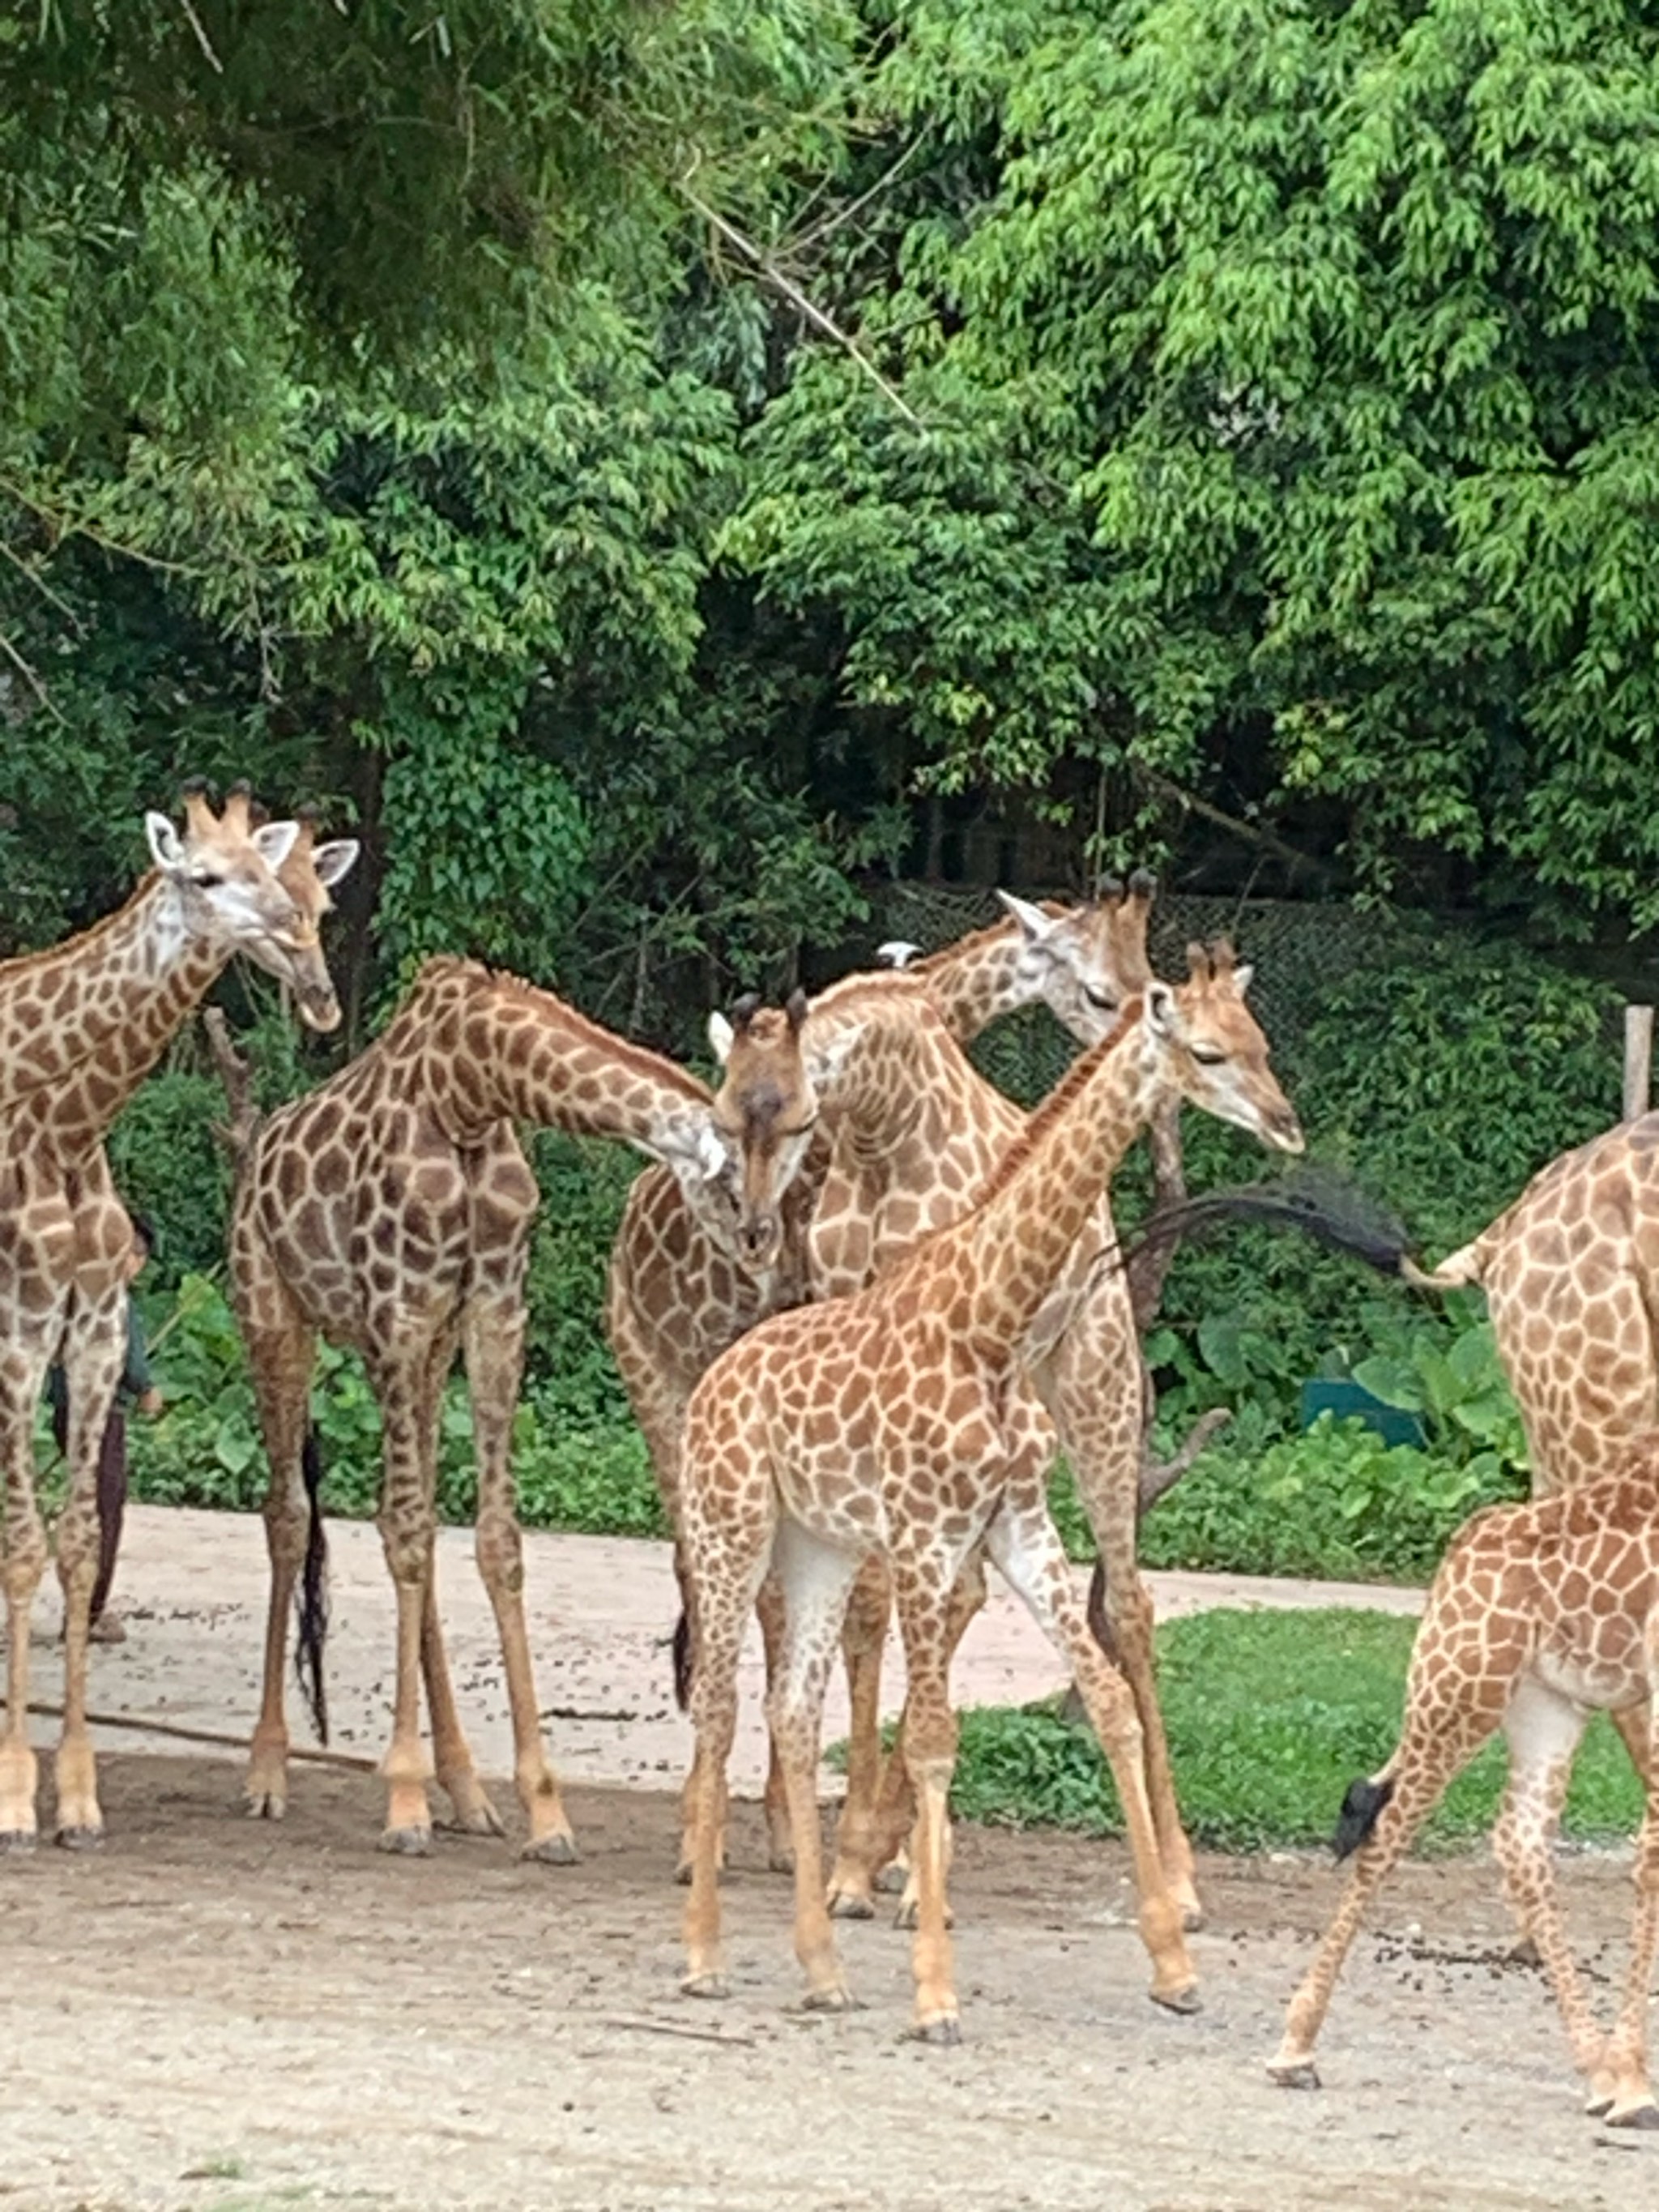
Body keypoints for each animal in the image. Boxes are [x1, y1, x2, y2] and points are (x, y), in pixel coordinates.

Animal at [2, 783, 353, 1849]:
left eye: (308, 895)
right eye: (202, 876)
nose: (314, 980)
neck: (66, 1121)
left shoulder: (91, 1324)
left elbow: (75, 1542)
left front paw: (76, 1796)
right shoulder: (21, 1325)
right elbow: (23, 1541)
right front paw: (13, 1795)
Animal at [228, 959, 800, 1858]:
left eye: (800, 1126)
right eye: (726, 1147)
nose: (760, 1240)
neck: (470, 1086)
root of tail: (255, 1156)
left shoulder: (490, 1309)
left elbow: (491, 1541)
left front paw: (543, 1811)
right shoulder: (401, 1308)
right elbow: (405, 1536)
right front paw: (402, 1806)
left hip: (420, 1354)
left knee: (402, 1521)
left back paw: (465, 1791)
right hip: (273, 1309)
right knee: (290, 1514)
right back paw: (267, 1774)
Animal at [676, 950, 1300, 2035]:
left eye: (1255, 1040)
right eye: (1206, 1050)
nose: (1283, 1122)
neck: (989, 1315)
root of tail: (715, 1383)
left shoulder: (1016, 1527)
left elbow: (1104, 1698)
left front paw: (1172, 1963)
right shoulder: (929, 1533)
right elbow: (933, 1736)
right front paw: (932, 1988)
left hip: (820, 1543)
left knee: (790, 1709)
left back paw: (821, 1969)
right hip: (732, 1532)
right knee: (719, 1706)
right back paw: (707, 1951)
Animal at [1273, 1441, 1659, 2132]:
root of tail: (1463, 1545)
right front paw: (1635, 2081)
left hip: (1547, 1700)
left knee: (1521, 1839)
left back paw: (1599, 2073)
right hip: (1458, 1688)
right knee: (1387, 1837)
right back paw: (1295, 2049)